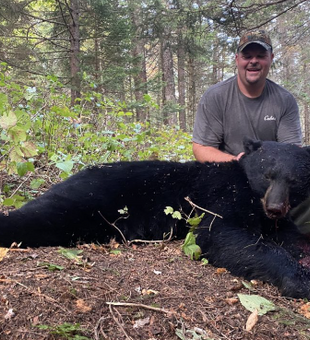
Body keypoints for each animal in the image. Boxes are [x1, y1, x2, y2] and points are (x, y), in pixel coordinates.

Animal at [0, 138, 310, 298]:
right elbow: (223, 236)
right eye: (267, 174)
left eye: (294, 181)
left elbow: (292, 236)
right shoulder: (218, 198)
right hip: (89, 201)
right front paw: (300, 279)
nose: (275, 207)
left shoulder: (275, 222)